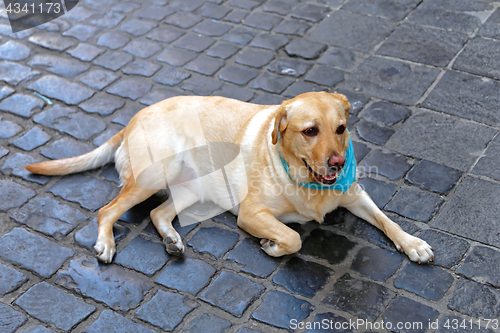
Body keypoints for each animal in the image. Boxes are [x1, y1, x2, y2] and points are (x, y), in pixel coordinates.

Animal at [26, 92, 434, 264]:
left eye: (341, 128)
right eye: (310, 131)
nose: (337, 162)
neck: (308, 183)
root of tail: (131, 121)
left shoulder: (355, 194)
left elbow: (388, 221)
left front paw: (413, 243)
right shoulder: (252, 214)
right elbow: (293, 238)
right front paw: (273, 246)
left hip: (191, 189)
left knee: (159, 214)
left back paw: (173, 240)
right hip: (155, 175)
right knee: (106, 211)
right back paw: (106, 245)